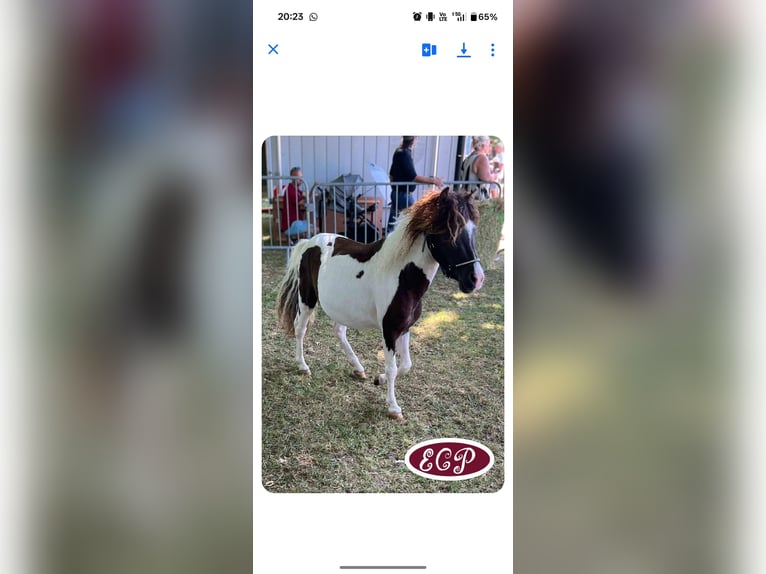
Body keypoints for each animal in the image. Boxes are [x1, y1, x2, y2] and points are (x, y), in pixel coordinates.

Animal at [276, 187, 485, 420]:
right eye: (449, 232)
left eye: (474, 230)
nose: (476, 279)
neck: (401, 276)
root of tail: (309, 242)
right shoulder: (389, 331)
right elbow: (393, 368)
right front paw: (393, 407)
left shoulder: (405, 328)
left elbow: (406, 365)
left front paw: (379, 379)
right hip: (307, 298)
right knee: (300, 329)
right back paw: (303, 366)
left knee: (339, 331)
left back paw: (358, 368)